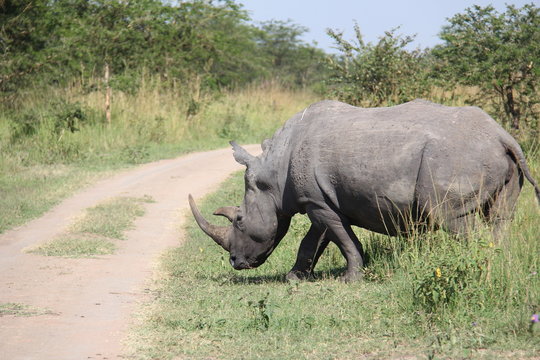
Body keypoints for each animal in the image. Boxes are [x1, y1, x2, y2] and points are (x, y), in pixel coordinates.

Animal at [190, 99, 540, 282]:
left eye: (238, 221)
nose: (235, 262)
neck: (273, 173)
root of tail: (502, 135)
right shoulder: (320, 199)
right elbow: (314, 240)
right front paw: (295, 278)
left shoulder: (318, 202)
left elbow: (343, 240)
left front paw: (350, 279)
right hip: (490, 157)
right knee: (500, 218)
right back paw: (498, 267)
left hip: (453, 157)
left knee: (453, 219)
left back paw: (479, 270)